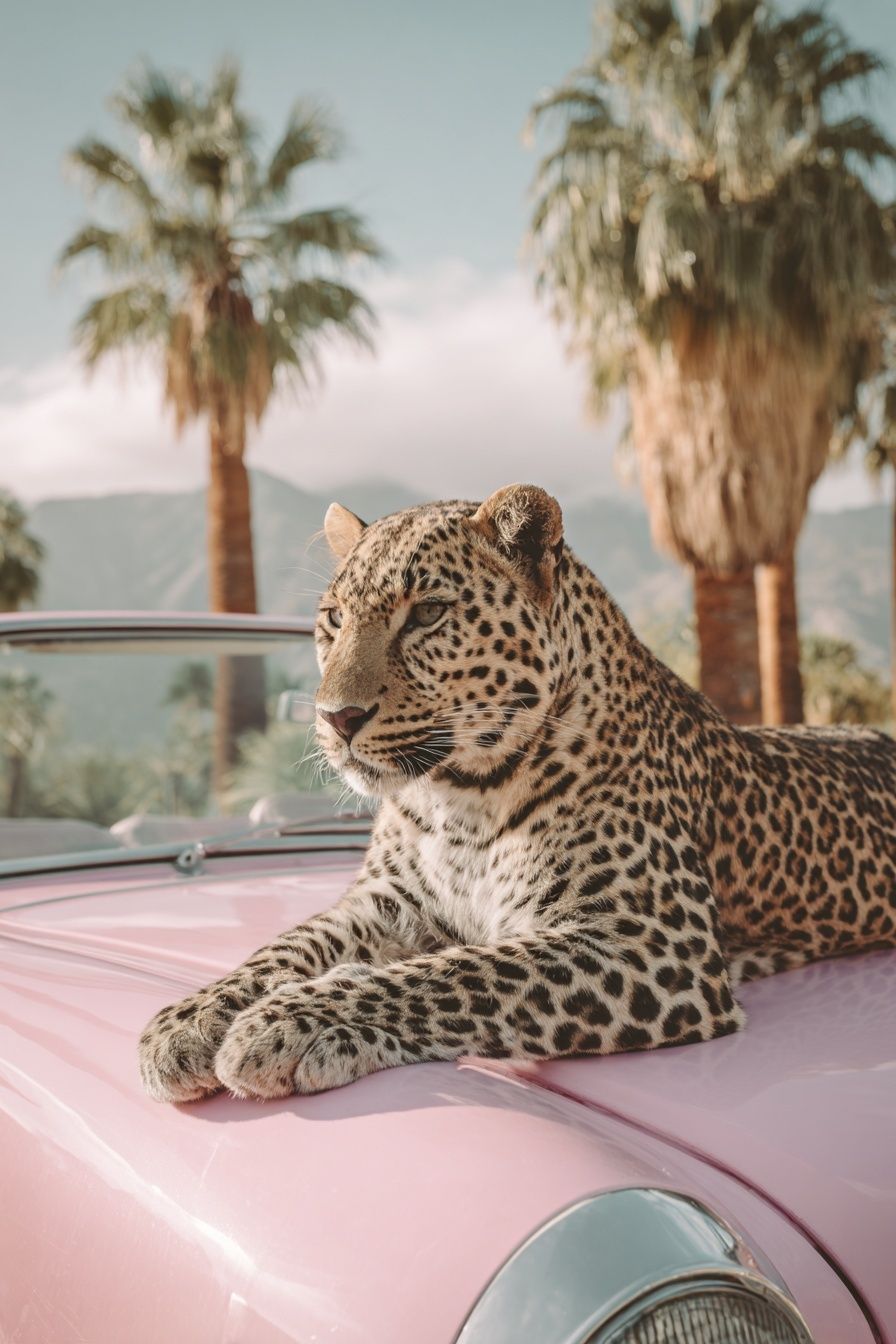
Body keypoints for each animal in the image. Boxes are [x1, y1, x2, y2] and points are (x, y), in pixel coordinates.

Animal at [139, 483, 896, 1103]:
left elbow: (463, 973)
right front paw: (191, 1019)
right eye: (332, 619)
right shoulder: (388, 902)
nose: (335, 718)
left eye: (428, 614)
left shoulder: (650, 940)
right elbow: (288, 943)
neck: (461, 798)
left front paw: (291, 1020)